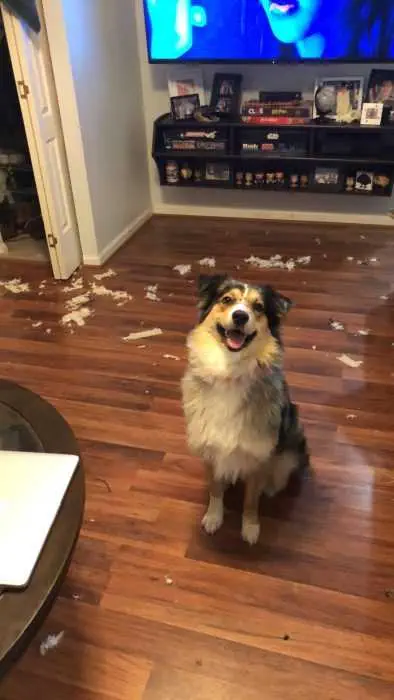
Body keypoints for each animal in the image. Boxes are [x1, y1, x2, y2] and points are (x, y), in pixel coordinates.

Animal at [181, 276, 308, 544]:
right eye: (227, 300)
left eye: (258, 307)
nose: (240, 316)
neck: (230, 371)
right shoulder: (210, 449)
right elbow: (215, 489)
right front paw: (214, 517)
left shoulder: (258, 456)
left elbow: (251, 500)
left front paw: (250, 528)